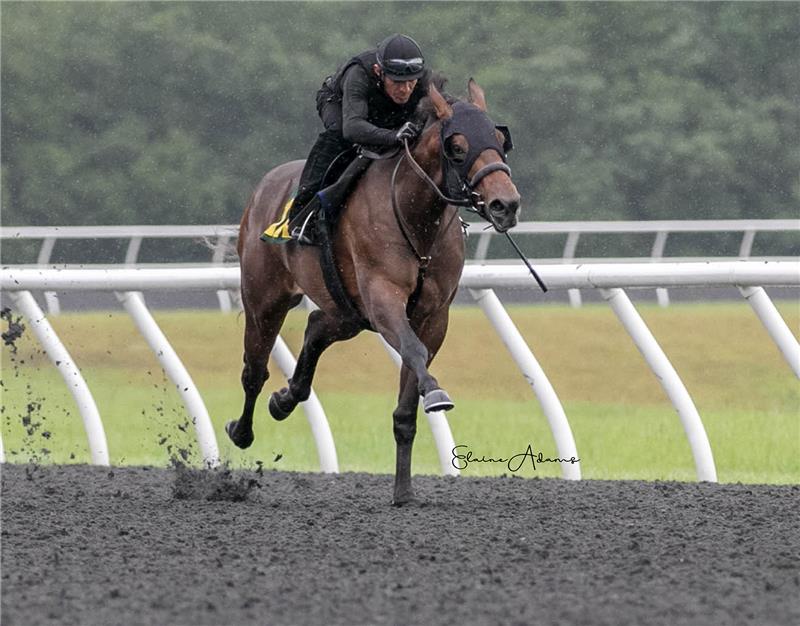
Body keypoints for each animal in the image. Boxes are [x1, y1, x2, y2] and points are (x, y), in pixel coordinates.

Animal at [228, 81, 520, 502]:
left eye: (499, 140)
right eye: (457, 146)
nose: (505, 204)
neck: (415, 218)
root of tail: (265, 184)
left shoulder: (433, 316)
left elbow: (407, 402)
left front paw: (404, 491)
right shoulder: (384, 299)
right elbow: (413, 350)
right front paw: (436, 393)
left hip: (347, 311)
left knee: (316, 327)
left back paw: (284, 399)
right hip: (264, 298)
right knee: (254, 369)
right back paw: (240, 430)